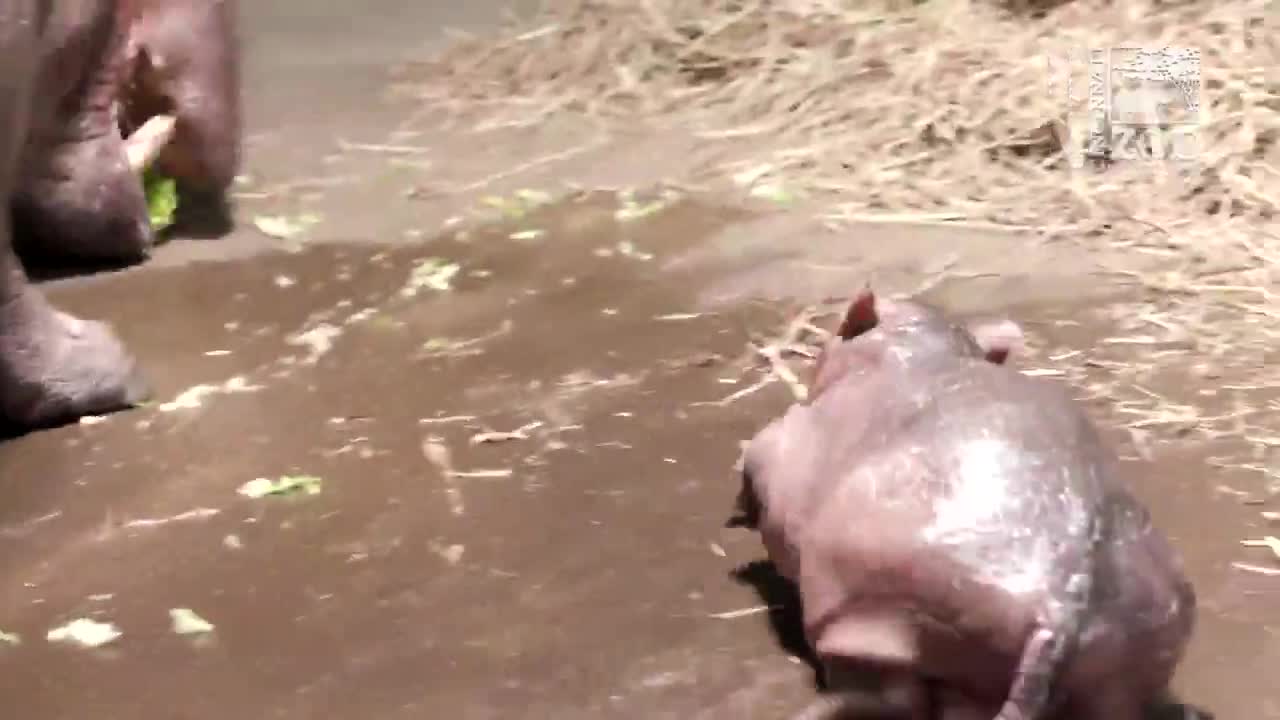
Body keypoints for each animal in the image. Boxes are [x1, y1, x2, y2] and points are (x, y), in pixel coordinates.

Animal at [737, 288, 1192, 712]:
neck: (920, 344)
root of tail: (1061, 610)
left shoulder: (779, 440)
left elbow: (754, 465)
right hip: (1117, 679)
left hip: (876, 622)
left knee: (888, 693)